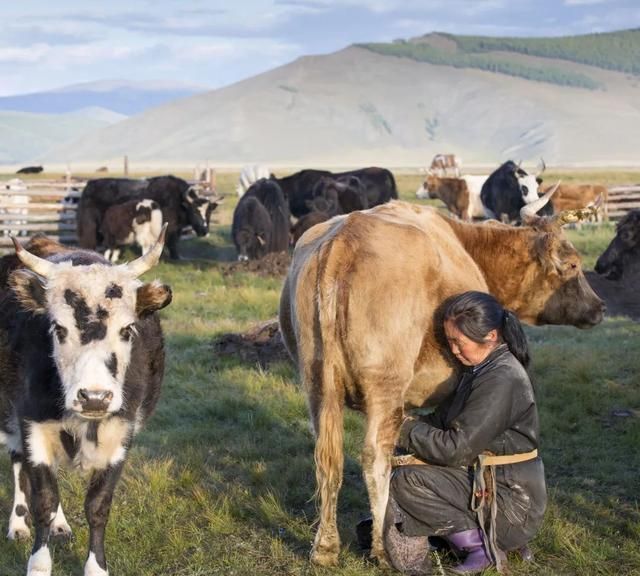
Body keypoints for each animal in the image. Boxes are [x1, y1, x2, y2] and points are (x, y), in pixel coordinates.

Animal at [0, 228, 172, 576]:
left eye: (127, 329)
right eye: (58, 328)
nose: (94, 397)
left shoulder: (122, 434)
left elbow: (98, 505)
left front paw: (95, 566)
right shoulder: (31, 424)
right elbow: (43, 500)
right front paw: (39, 564)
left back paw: (60, 525)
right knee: (17, 462)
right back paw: (18, 524)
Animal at [76, 174, 218, 258]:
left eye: (209, 212)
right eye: (195, 211)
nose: (204, 231)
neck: (178, 200)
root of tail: (88, 186)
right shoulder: (169, 227)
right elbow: (171, 243)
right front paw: (174, 258)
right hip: (90, 226)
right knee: (88, 241)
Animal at [278, 192, 604, 568]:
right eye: (573, 265)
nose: (600, 307)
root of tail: (346, 237)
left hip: (318, 384)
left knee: (328, 461)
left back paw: (326, 549)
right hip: (383, 383)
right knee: (374, 457)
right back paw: (383, 549)